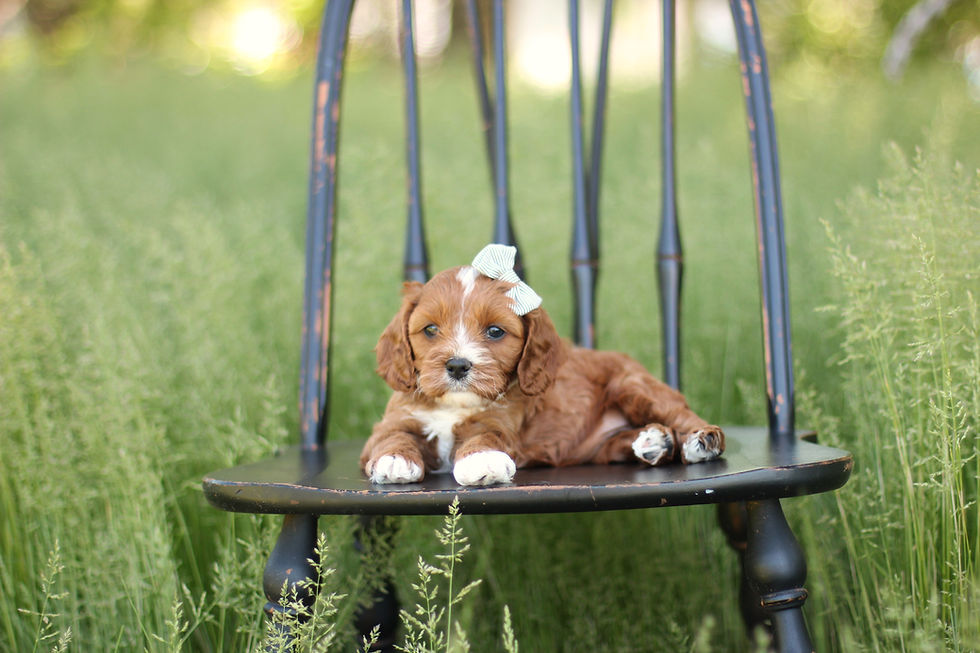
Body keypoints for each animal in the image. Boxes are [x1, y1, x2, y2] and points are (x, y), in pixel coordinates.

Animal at [360, 244, 720, 484]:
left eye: (495, 331)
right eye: (430, 330)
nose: (458, 366)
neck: (455, 404)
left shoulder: (502, 423)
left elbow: (485, 436)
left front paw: (481, 460)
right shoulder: (393, 419)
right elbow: (392, 435)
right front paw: (394, 459)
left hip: (634, 385)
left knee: (680, 414)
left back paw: (701, 441)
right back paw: (655, 442)